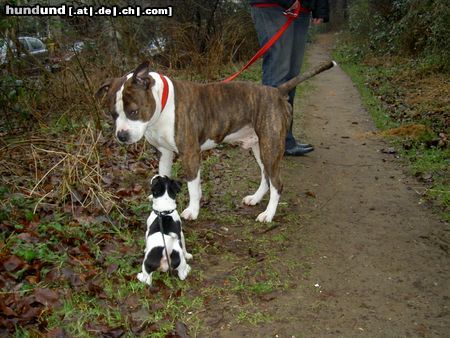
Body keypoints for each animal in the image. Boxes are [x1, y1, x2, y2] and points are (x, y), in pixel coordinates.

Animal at [96, 60, 334, 222]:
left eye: (133, 111)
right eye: (112, 114)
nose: (121, 136)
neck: (162, 106)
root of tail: (277, 91)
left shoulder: (190, 153)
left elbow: (193, 185)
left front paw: (192, 210)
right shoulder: (164, 153)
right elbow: (164, 175)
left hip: (270, 146)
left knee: (277, 182)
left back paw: (268, 214)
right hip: (260, 147)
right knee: (266, 176)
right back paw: (256, 199)